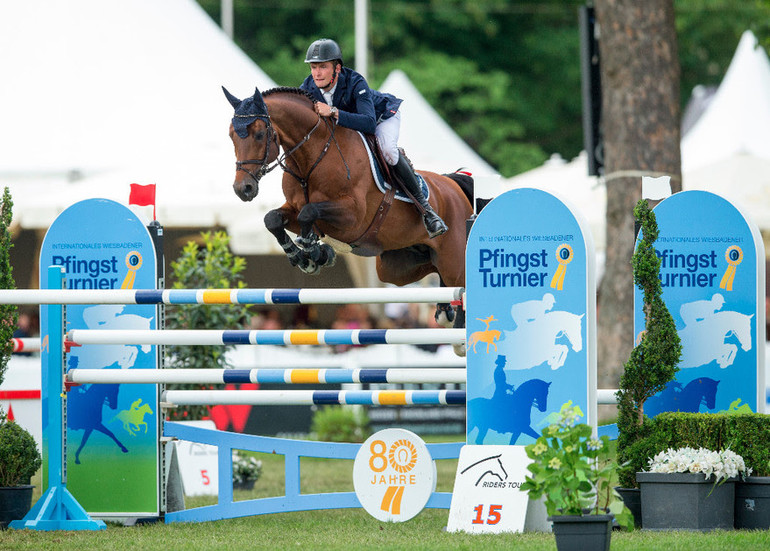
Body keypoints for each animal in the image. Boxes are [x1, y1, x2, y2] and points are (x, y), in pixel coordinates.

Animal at [224, 87, 474, 324]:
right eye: (231, 136)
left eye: (259, 134)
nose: (243, 189)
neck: (312, 157)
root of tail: (453, 184)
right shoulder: (294, 209)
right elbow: (273, 219)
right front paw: (306, 257)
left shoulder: (352, 217)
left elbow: (309, 212)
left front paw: (315, 251)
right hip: (396, 268)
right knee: (432, 268)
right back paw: (444, 308)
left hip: (453, 261)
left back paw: (434, 223)